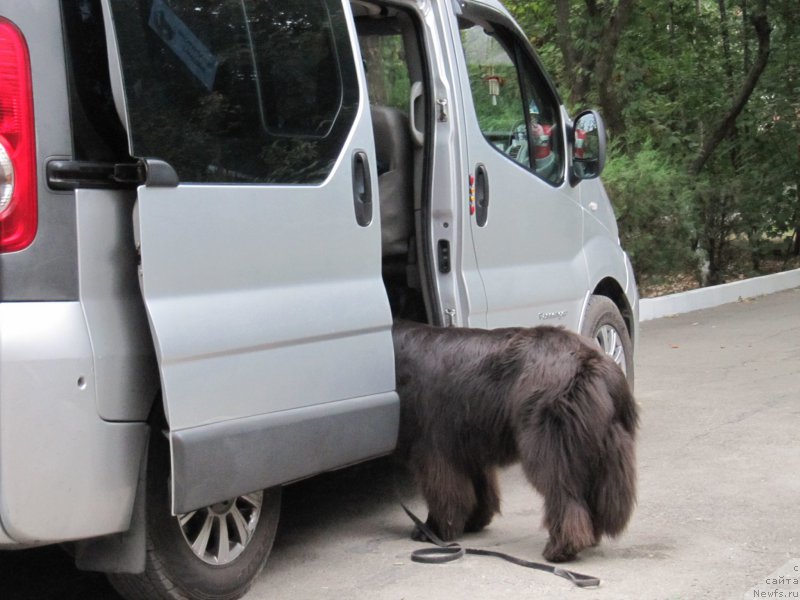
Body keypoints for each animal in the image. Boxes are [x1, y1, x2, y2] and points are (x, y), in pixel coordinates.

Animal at [392, 322, 636, 560]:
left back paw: (560, 549)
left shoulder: (433, 446)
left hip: (550, 447)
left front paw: (432, 530)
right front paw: (474, 521)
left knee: (565, 496)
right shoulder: (469, 446)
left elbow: (443, 493)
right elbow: (479, 489)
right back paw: (590, 537)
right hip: (599, 447)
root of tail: (591, 361)